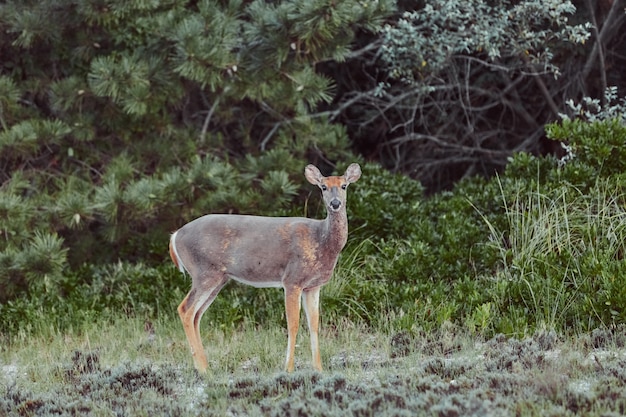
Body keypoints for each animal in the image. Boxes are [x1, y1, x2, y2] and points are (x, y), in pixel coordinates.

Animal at [168, 162, 360, 370]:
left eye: (344, 186)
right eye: (323, 187)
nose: (335, 203)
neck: (320, 240)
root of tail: (175, 235)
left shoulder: (313, 286)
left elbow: (314, 324)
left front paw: (319, 369)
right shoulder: (292, 279)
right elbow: (293, 324)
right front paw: (288, 369)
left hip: (218, 278)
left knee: (196, 315)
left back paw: (205, 367)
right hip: (204, 271)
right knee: (185, 310)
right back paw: (203, 369)